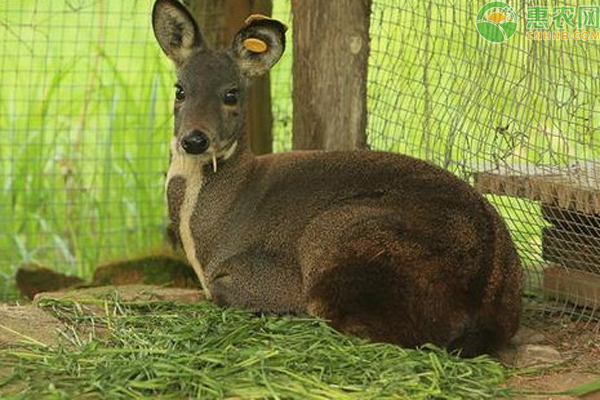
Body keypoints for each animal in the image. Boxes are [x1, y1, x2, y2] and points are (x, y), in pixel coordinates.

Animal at [154, 0, 520, 356]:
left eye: (231, 94)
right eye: (179, 90)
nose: (194, 139)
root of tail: (486, 295)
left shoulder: (269, 275)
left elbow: (225, 291)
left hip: (336, 232)